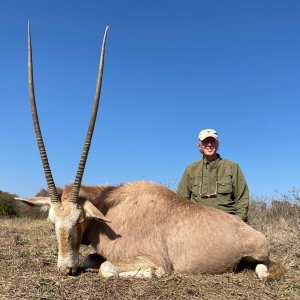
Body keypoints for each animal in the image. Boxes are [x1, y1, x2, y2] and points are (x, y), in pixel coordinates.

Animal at [17, 24, 286, 280]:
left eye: (80, 220)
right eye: (52, 222)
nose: (66, 269)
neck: (112, 211)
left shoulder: (150, 257)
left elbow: (107, 267)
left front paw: (153, 273)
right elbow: (90, 259)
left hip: (259, 254)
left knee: (263, 267)